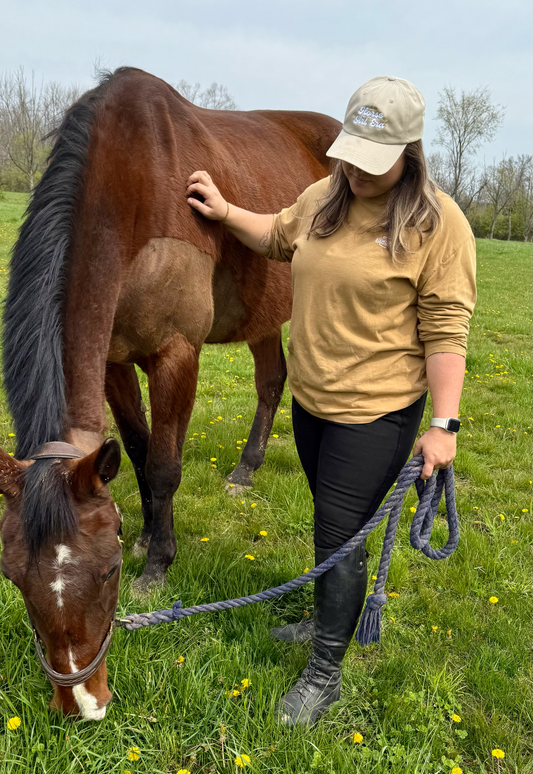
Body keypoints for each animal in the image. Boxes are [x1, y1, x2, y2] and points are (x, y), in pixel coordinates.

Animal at [0, 66, 340, 718]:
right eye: (11, 576)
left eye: (106, 572)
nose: (82, 702)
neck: (133, 190)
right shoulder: (114, 361)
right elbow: (134, 452)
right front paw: (147, 537)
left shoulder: (177, 354)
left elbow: (162, 465)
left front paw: (157, 564)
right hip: (262, 316)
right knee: (270, 380)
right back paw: (246, 470)